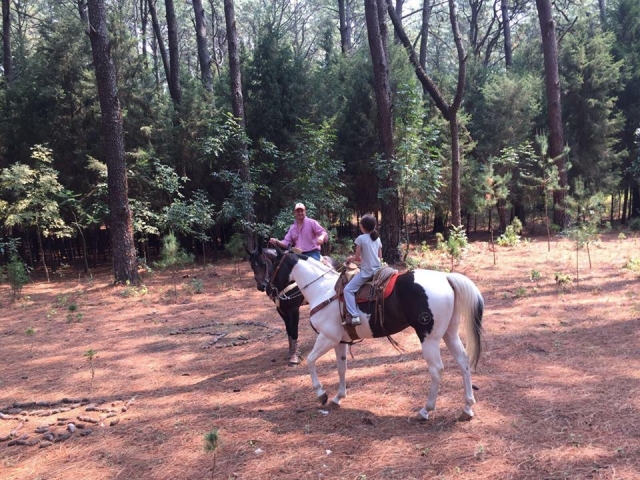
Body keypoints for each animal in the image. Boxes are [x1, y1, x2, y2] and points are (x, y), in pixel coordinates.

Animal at [264, 246, 485, 421]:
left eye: (274, 266)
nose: (267, 289)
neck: (323, 290)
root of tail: (446, 278)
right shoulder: (340, 342)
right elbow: (341, 368)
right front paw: (338, 397)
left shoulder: (327, 338)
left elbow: (310, 361)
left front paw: (321, 394)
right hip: (449, 333)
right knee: (463, 362)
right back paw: (467, 409)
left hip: (429, 338)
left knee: (437, 370)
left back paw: (425, 411)